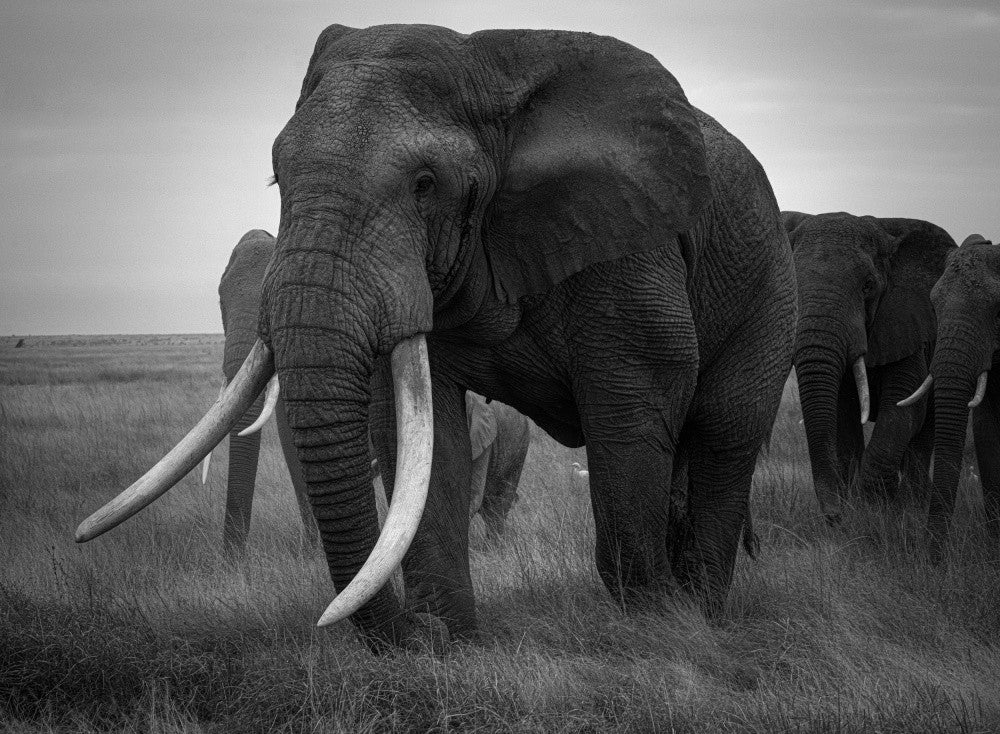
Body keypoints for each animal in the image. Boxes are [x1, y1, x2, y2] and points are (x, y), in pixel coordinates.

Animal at [783, 211, 956, 522]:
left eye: (868, 286)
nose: (833, 516)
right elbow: (844, 415)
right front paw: (856, 509)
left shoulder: (907, 324)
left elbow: (903, 409)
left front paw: (876, 507)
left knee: (926, 428)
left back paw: (912, 507)